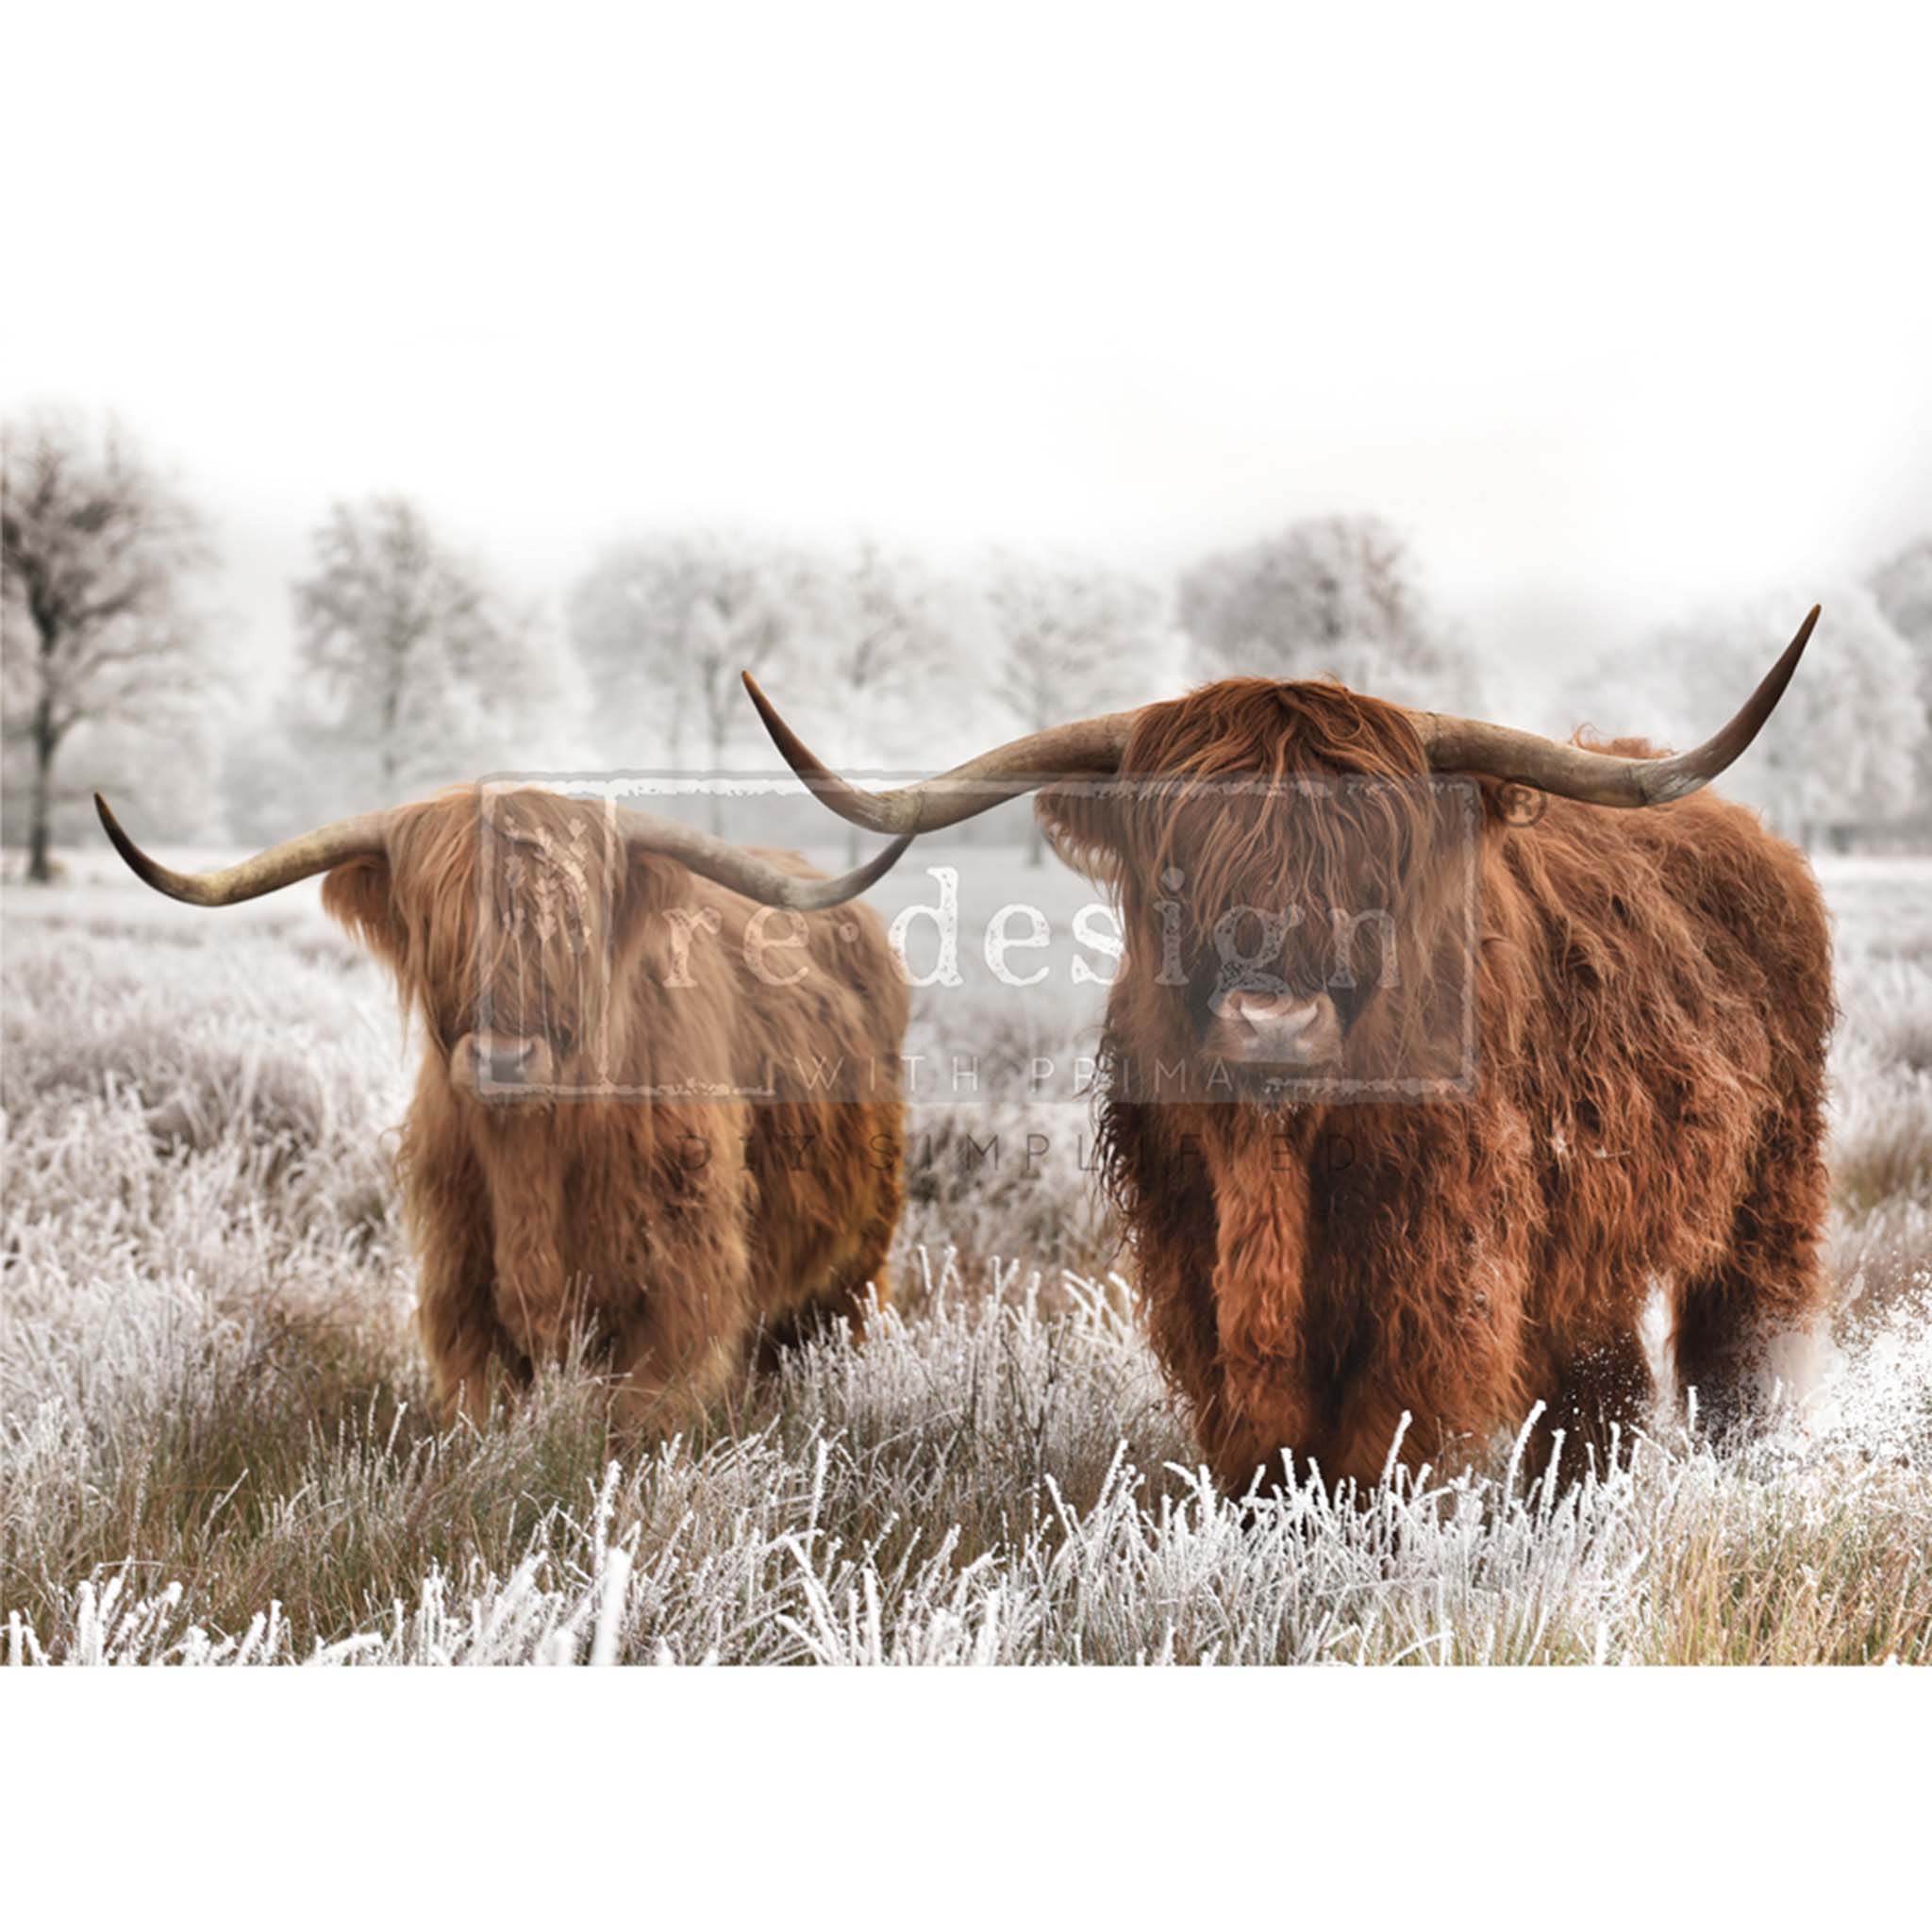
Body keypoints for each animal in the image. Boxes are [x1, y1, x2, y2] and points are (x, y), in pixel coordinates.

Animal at [91, 784, 904, 1437]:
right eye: (439, 928)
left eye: (571, 935)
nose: (504, 1061)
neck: (532, 1153)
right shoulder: (462, 1285)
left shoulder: (678, 1286)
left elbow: (640, 1423)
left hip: (858, 1253)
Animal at [745, 610, 1831, 1483]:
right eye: (1176, 865)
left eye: (1376, 861)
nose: (1272, 1024)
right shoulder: (1192, 1262)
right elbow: (1262, 1448)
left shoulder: (1437, 1271)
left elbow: (1379, 1446)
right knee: (1598, 1381)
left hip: (1769, 1185)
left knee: (1740, 1347)